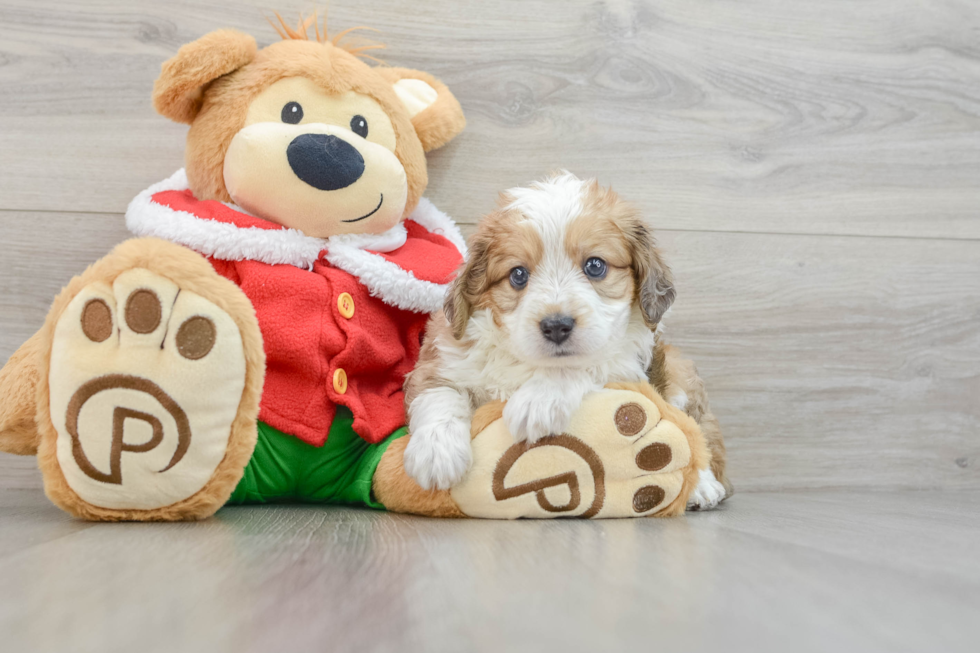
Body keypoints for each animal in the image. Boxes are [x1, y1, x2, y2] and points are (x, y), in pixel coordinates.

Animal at [402, 173, 732, 510]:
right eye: (518, 274)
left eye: (595, 266)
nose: (556, 326)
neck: (529, 362)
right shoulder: (443, 356)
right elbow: (439, 394)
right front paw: (436, 452)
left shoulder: (628, 365)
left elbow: (587, 365)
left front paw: (538, 400)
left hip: (680, 375)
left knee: (697, 434)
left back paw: (703, 486)